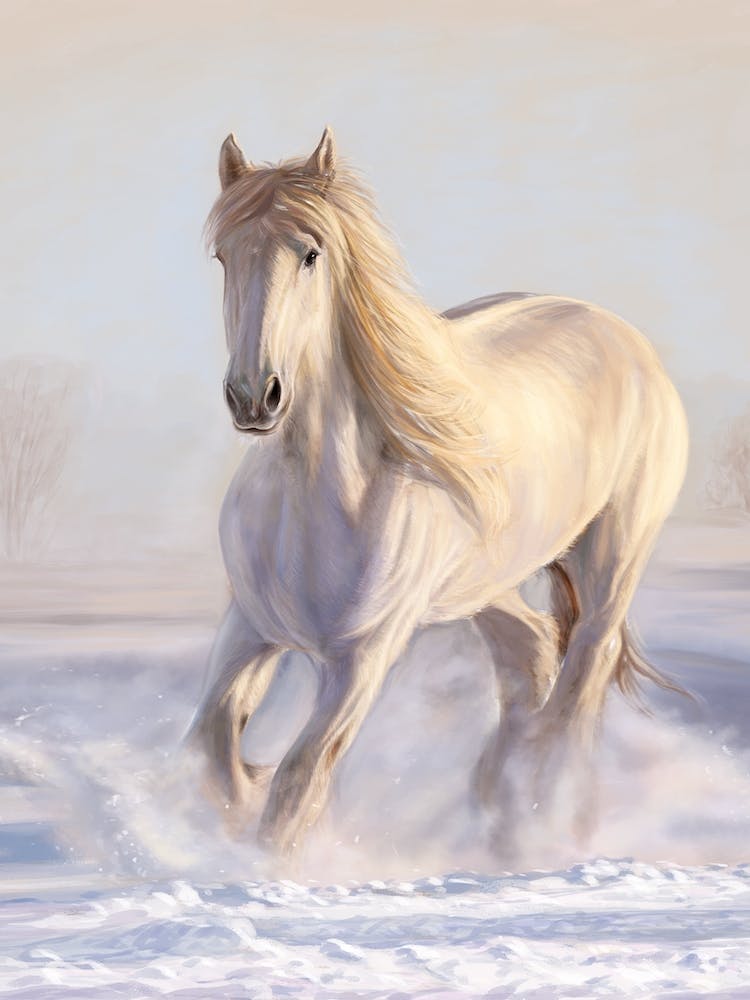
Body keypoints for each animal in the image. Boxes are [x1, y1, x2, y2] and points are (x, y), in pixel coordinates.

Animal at [188, 126, 689, 856]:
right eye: (223, 257)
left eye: (310, 254)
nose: (255, 397)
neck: (314, 505)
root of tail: (627, 339)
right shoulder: (250, 627)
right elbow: (213, 746)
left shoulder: (364, 655)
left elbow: (298, 781)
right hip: (485, 585)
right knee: (531, 656)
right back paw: (499, 813)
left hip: (610, 566)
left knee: (578, 686)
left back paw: (545, 823)